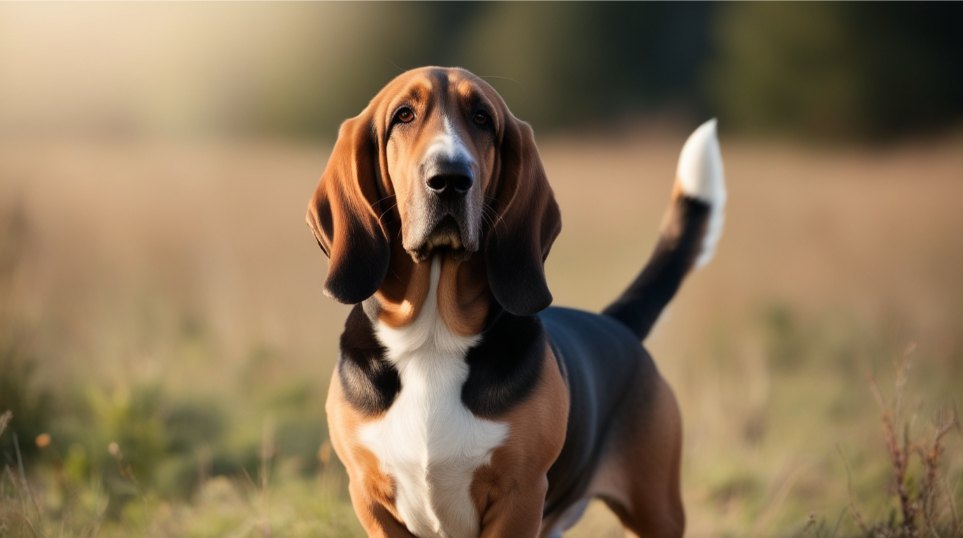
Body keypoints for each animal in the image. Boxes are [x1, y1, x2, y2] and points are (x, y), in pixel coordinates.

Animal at [306, 66, 728, 536]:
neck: (433, 336)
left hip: (655, 508)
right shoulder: (370, 498)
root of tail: (617, 324)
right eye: (403, 115)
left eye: (482, 118)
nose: (450, 178)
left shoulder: (519, 495)